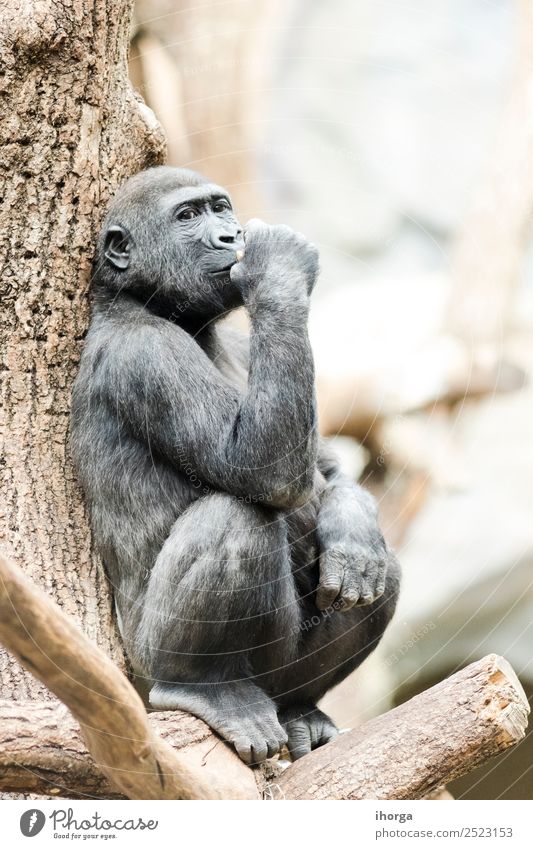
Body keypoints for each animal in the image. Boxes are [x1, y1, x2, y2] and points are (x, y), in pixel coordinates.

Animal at [70, 169, 402, 764]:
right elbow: (258, 469)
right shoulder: (147, 353)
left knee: (379, 571)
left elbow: (328, 472)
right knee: (237, 517)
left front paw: (350, 531)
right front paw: (278, 267)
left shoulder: (248, 344)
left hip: (276, 679)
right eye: (187, 217)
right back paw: (202, 687)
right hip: (139, 674)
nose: (231, 235)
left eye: (220, 208)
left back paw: (300, 705)